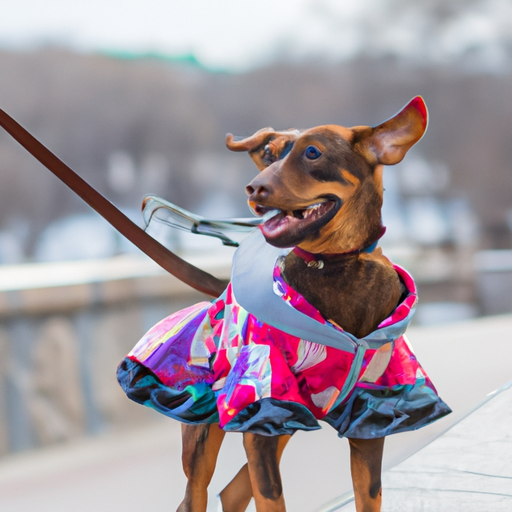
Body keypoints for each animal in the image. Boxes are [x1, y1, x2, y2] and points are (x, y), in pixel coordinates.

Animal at [118, 97, 450, 512]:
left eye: (313, 153)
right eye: (269, 155)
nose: (254, 188)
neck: (334, 267)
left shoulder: (374, 412)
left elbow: (366, 495)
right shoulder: (262, 402)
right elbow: (270, 496)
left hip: (284, 419)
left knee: (232, 492)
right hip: (213, 424)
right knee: (196, 495)